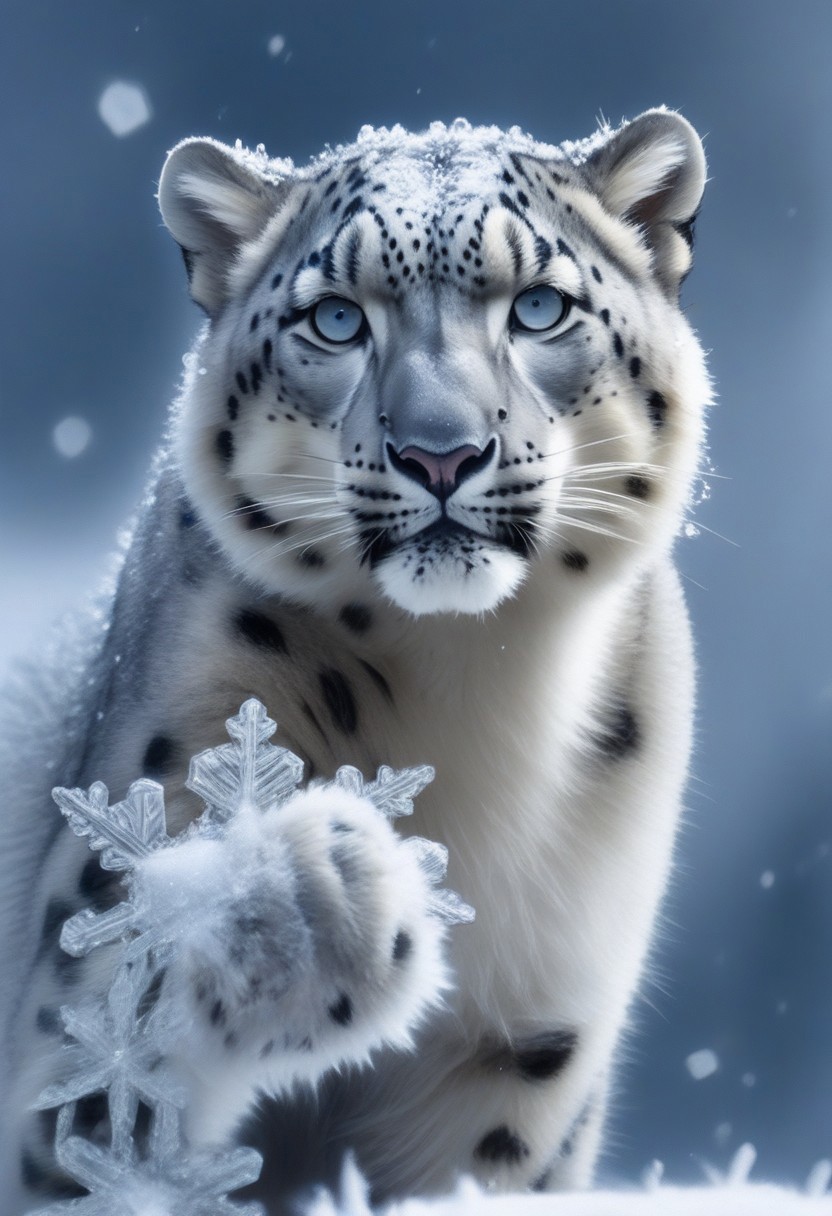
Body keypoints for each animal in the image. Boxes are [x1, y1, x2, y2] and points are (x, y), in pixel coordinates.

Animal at [0, 108, 710, 1214]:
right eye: (335, 320)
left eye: (539, 308)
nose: (440, 453)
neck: (476, 686)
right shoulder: (71, 1001)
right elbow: (111, 1088)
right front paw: (301, 899)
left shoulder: (526, 1043)